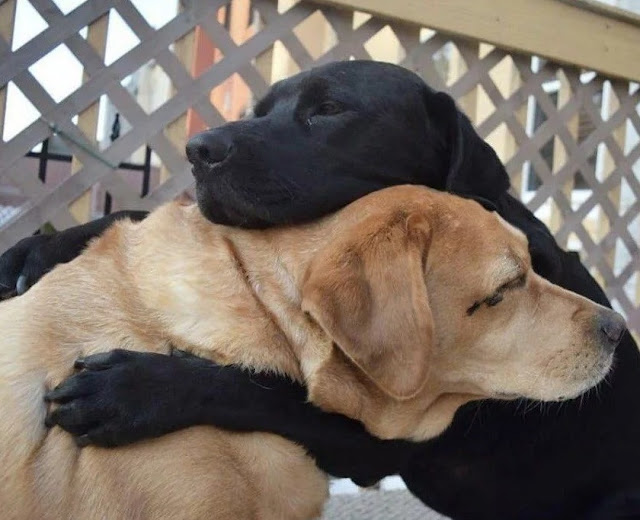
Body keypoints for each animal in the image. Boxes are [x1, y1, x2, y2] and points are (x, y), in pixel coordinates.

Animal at [2, 60, 636, 516]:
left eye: (329, 110)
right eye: (260, 110)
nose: (199, 149)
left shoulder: (377, 438)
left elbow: (259, 390)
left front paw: (138, 387)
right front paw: (38, 247)